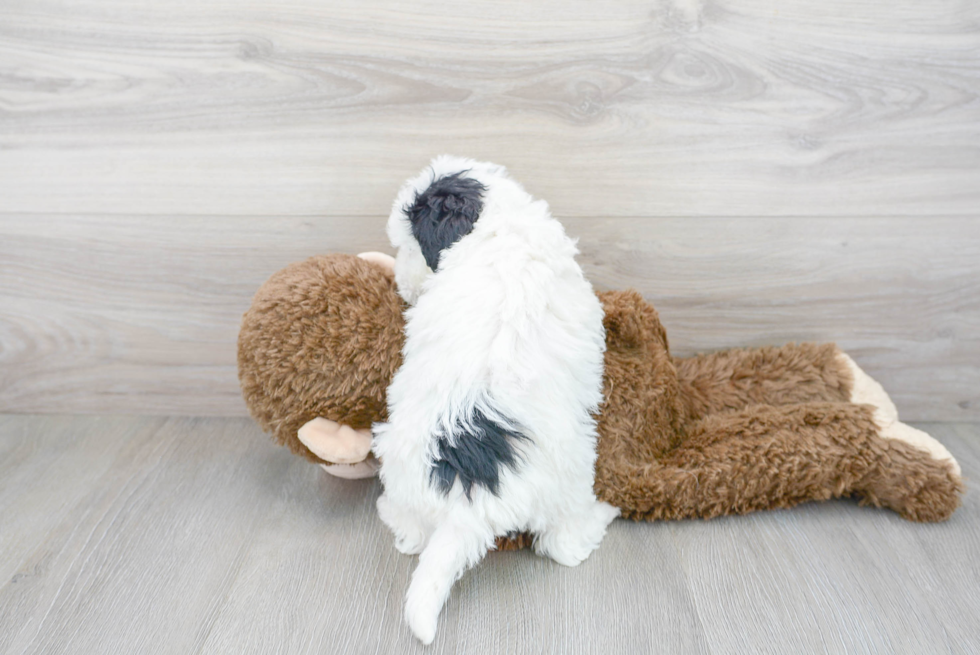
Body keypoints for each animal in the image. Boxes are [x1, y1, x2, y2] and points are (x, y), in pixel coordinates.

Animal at [372, 156, 616, 644]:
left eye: (407, 246)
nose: (401, 285)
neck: (497, 225)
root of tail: (469, 500)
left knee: (414, 531)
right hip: (572, 475)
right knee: (563, 545)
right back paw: (600, 518)